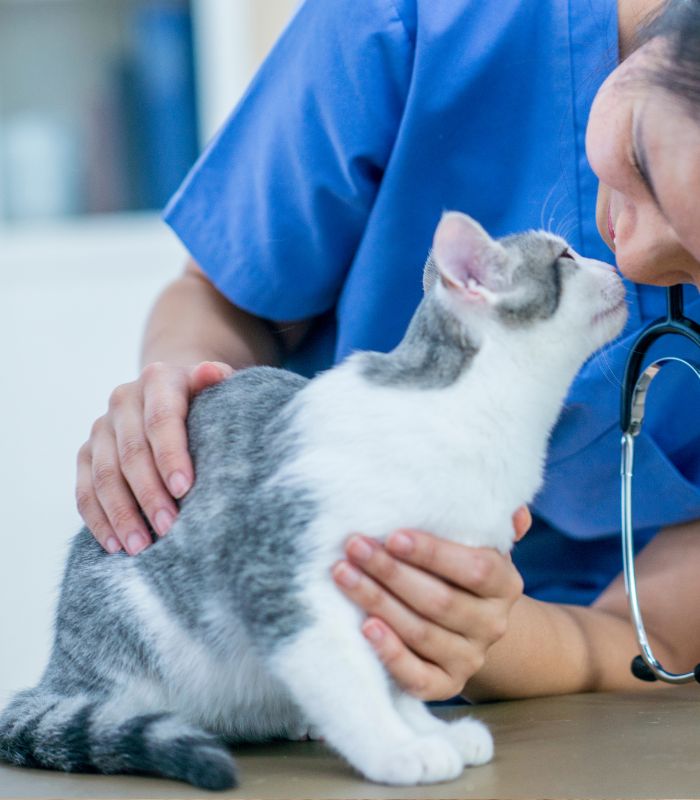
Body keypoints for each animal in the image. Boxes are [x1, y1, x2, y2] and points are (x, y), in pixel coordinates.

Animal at [0, 211, 624, 788]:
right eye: (565, 257)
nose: (613, 265)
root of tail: (62, 667)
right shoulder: (281, 570)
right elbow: (349, 676)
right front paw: (395, 748)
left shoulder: (400, 595)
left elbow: (395, 677)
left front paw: (422, 728)